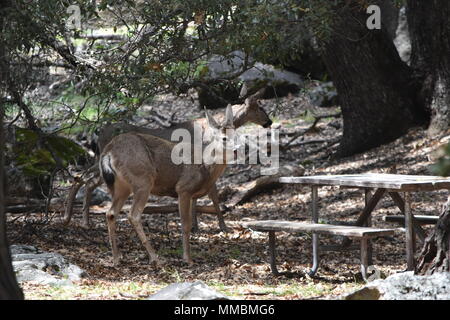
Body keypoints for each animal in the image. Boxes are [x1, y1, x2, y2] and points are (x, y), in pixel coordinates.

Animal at [62, 90, 270, 230]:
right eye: (260, 106)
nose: (269, 122)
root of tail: (97, 133)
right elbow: (213, 195)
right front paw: (221, 226)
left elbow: (199, 196)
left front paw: (195, 225)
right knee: (85, 180)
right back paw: (79, 219)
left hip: (102, 162)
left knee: (82, 179)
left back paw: (72, 218)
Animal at [99, 105, 239, 264]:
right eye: (224, 138)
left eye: (236, 134)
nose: (237, 150)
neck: (205, 166)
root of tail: (108, 152)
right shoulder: (183, 189)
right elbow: (185, 224)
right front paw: (187, 259)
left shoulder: (192, 194)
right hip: (142, 179)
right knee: (133, 215)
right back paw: (155, 258)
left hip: (120, 186)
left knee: (111, 213)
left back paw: (116, 258)